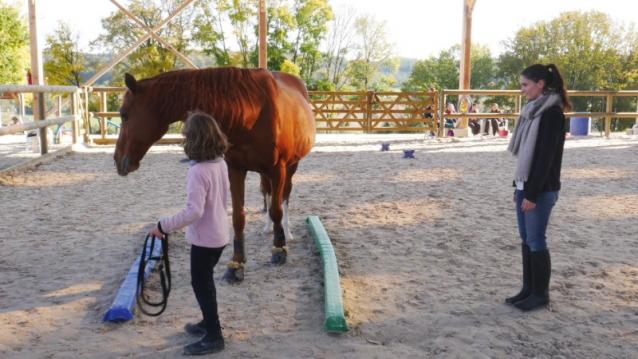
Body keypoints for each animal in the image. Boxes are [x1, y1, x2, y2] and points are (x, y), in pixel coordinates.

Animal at [115, 66, 318, 282]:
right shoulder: (236, 169)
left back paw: (286, 232)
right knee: (268, 193)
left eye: (124, 114)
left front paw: (279, 250)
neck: (253, 112)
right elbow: (238, 217)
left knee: (285, 196)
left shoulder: (277, 169)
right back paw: (268, 227)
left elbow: (277, 210)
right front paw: (237, 263)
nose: (117, 159)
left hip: (291, 166)